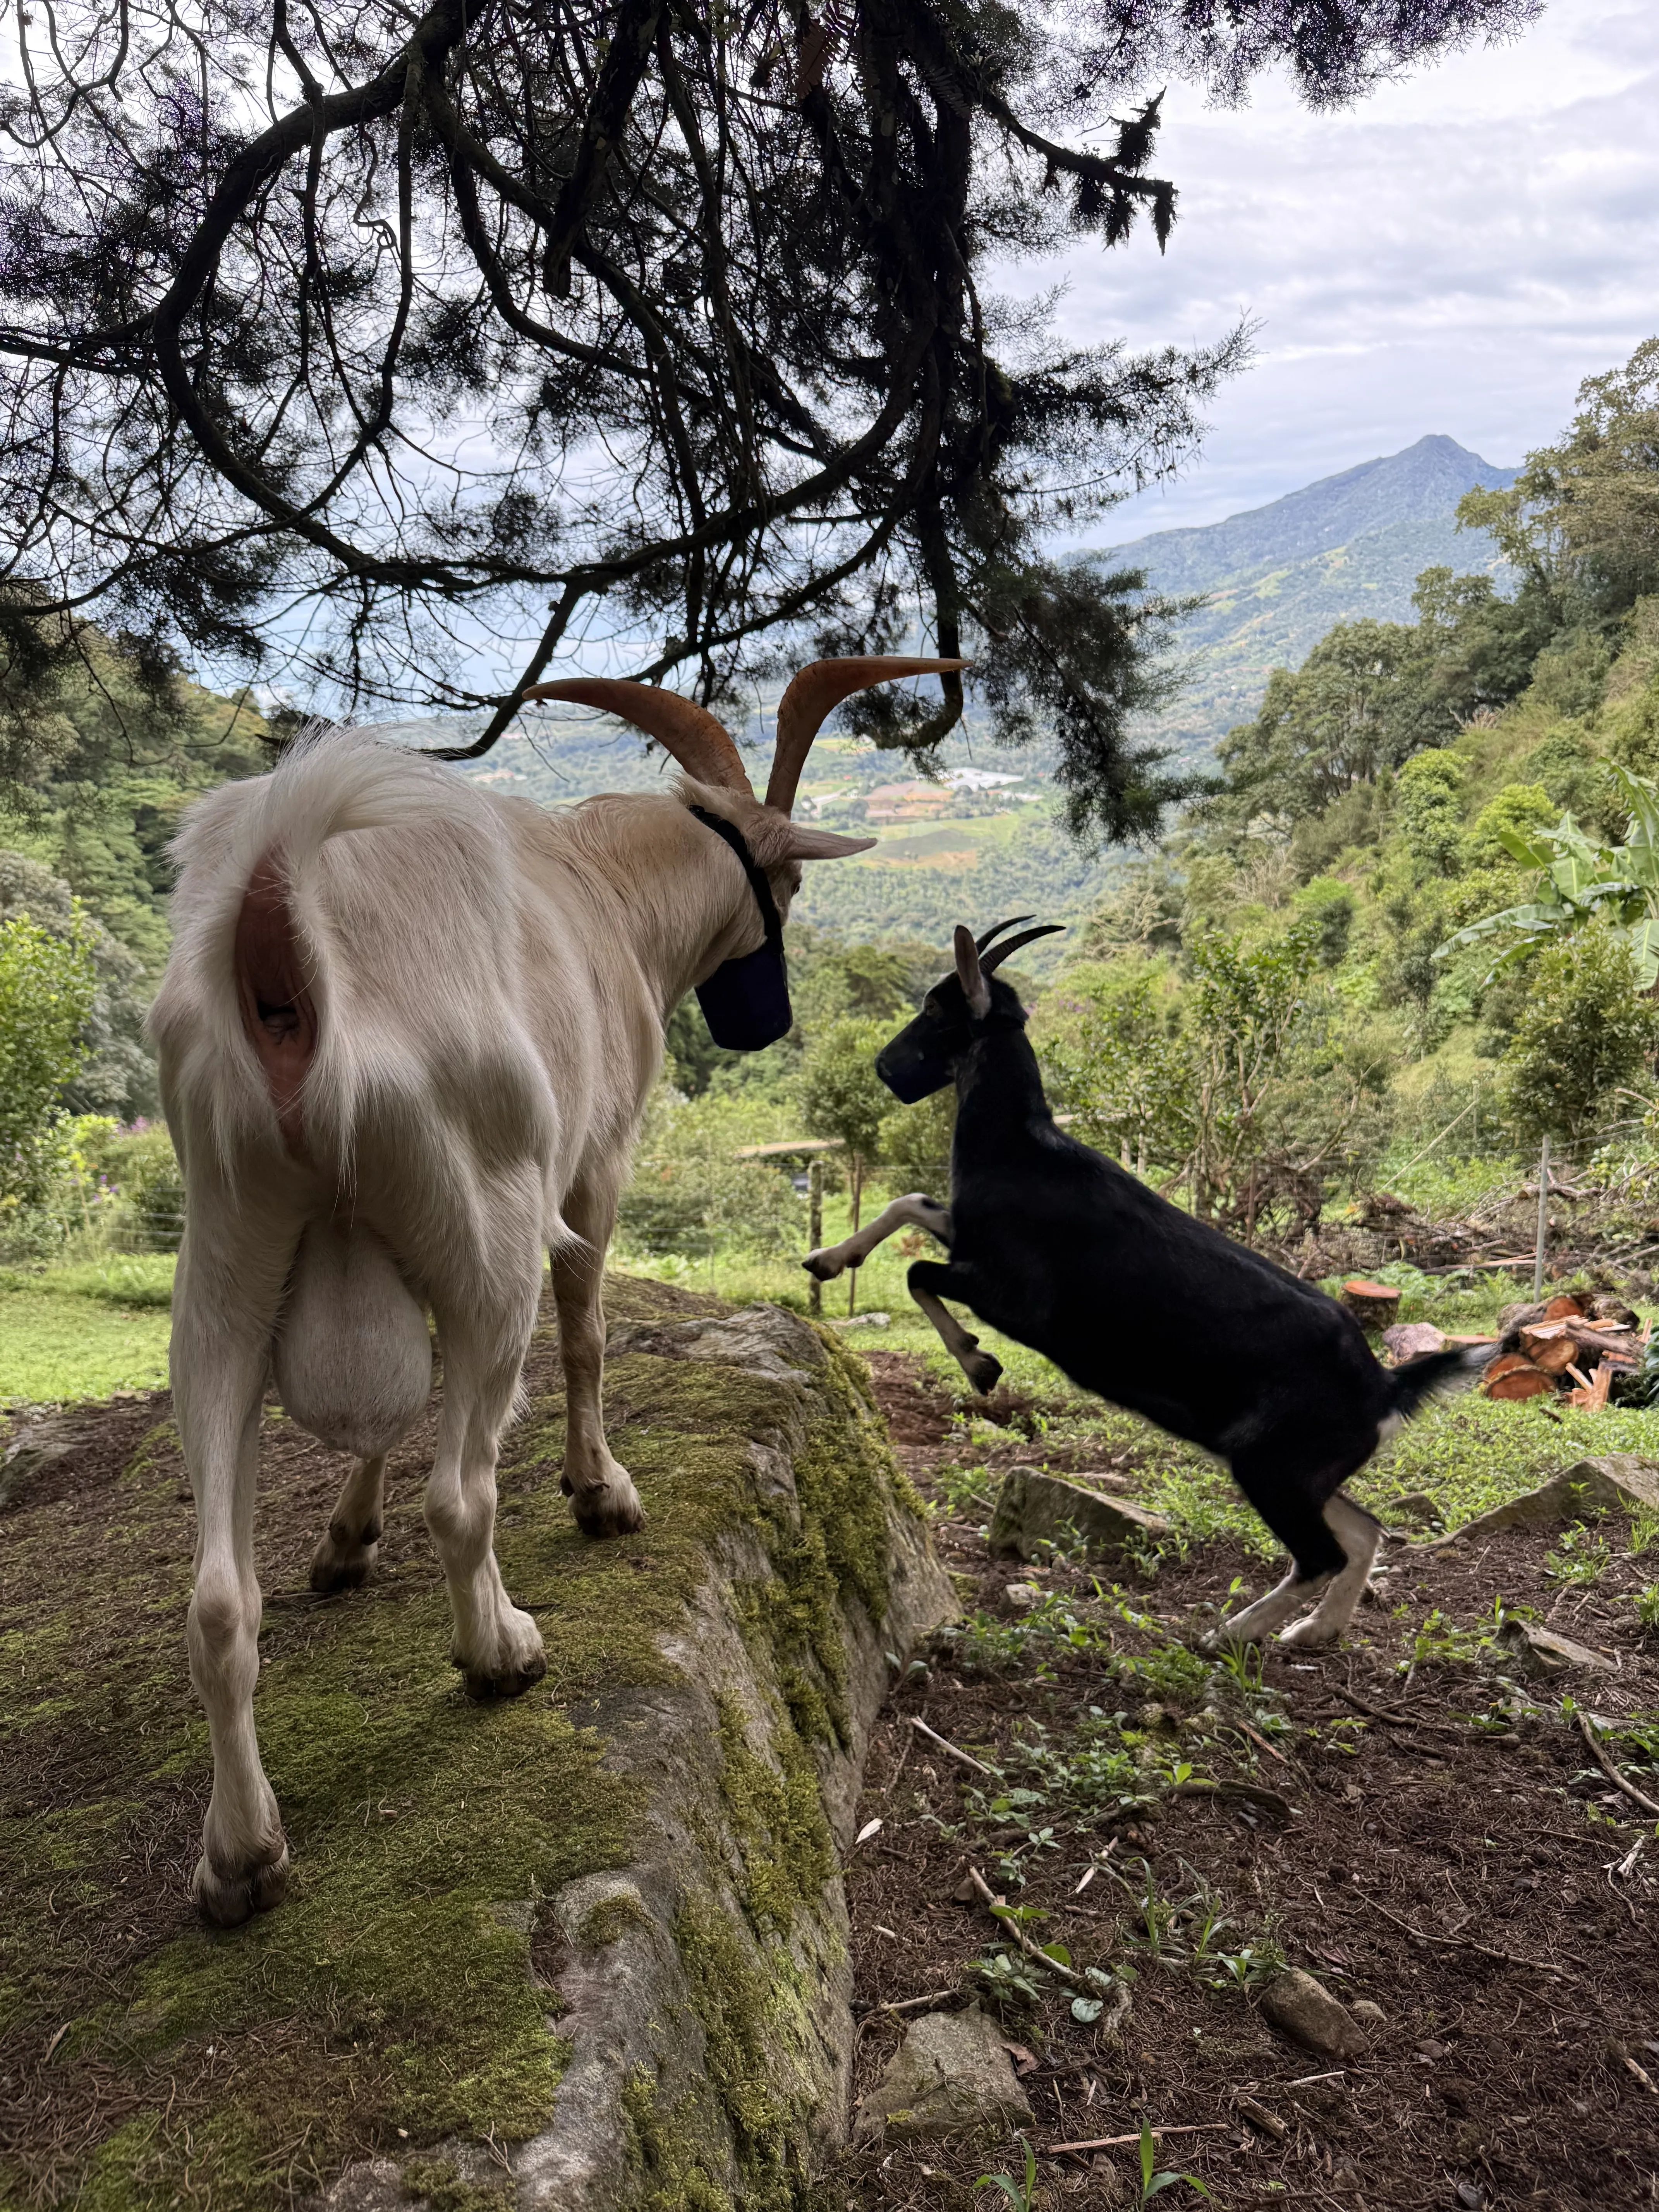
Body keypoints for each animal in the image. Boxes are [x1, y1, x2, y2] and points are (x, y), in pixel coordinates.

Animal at [149, 655, 959, 1925]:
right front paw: (601, 1490)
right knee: (464, 1485)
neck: (605, 890)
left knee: (221, 1597)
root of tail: (285, 928)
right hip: (486, 1226)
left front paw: (346, 1537)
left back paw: (240, 1856)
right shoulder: (596, 1164)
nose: (765, 1018)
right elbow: (586, 1330)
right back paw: (502, 1650)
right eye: (780, 879)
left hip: (227, 1252)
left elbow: (390, 1417)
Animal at [803, 920, 1490, 1652]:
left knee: (1321, 1554)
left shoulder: (1010, 1296)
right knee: (1364, 1532)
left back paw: (1229, 1633)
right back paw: (1311, 1631)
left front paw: (977, 1362)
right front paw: (826, 1260)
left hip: (1273, 1468)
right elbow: (908, 1202)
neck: (1020, 1151)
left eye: (936, 1009)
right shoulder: (965, 1235)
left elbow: (916, 1273)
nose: (883, 1067)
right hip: (1306, 1472)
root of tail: (1385, 1388)